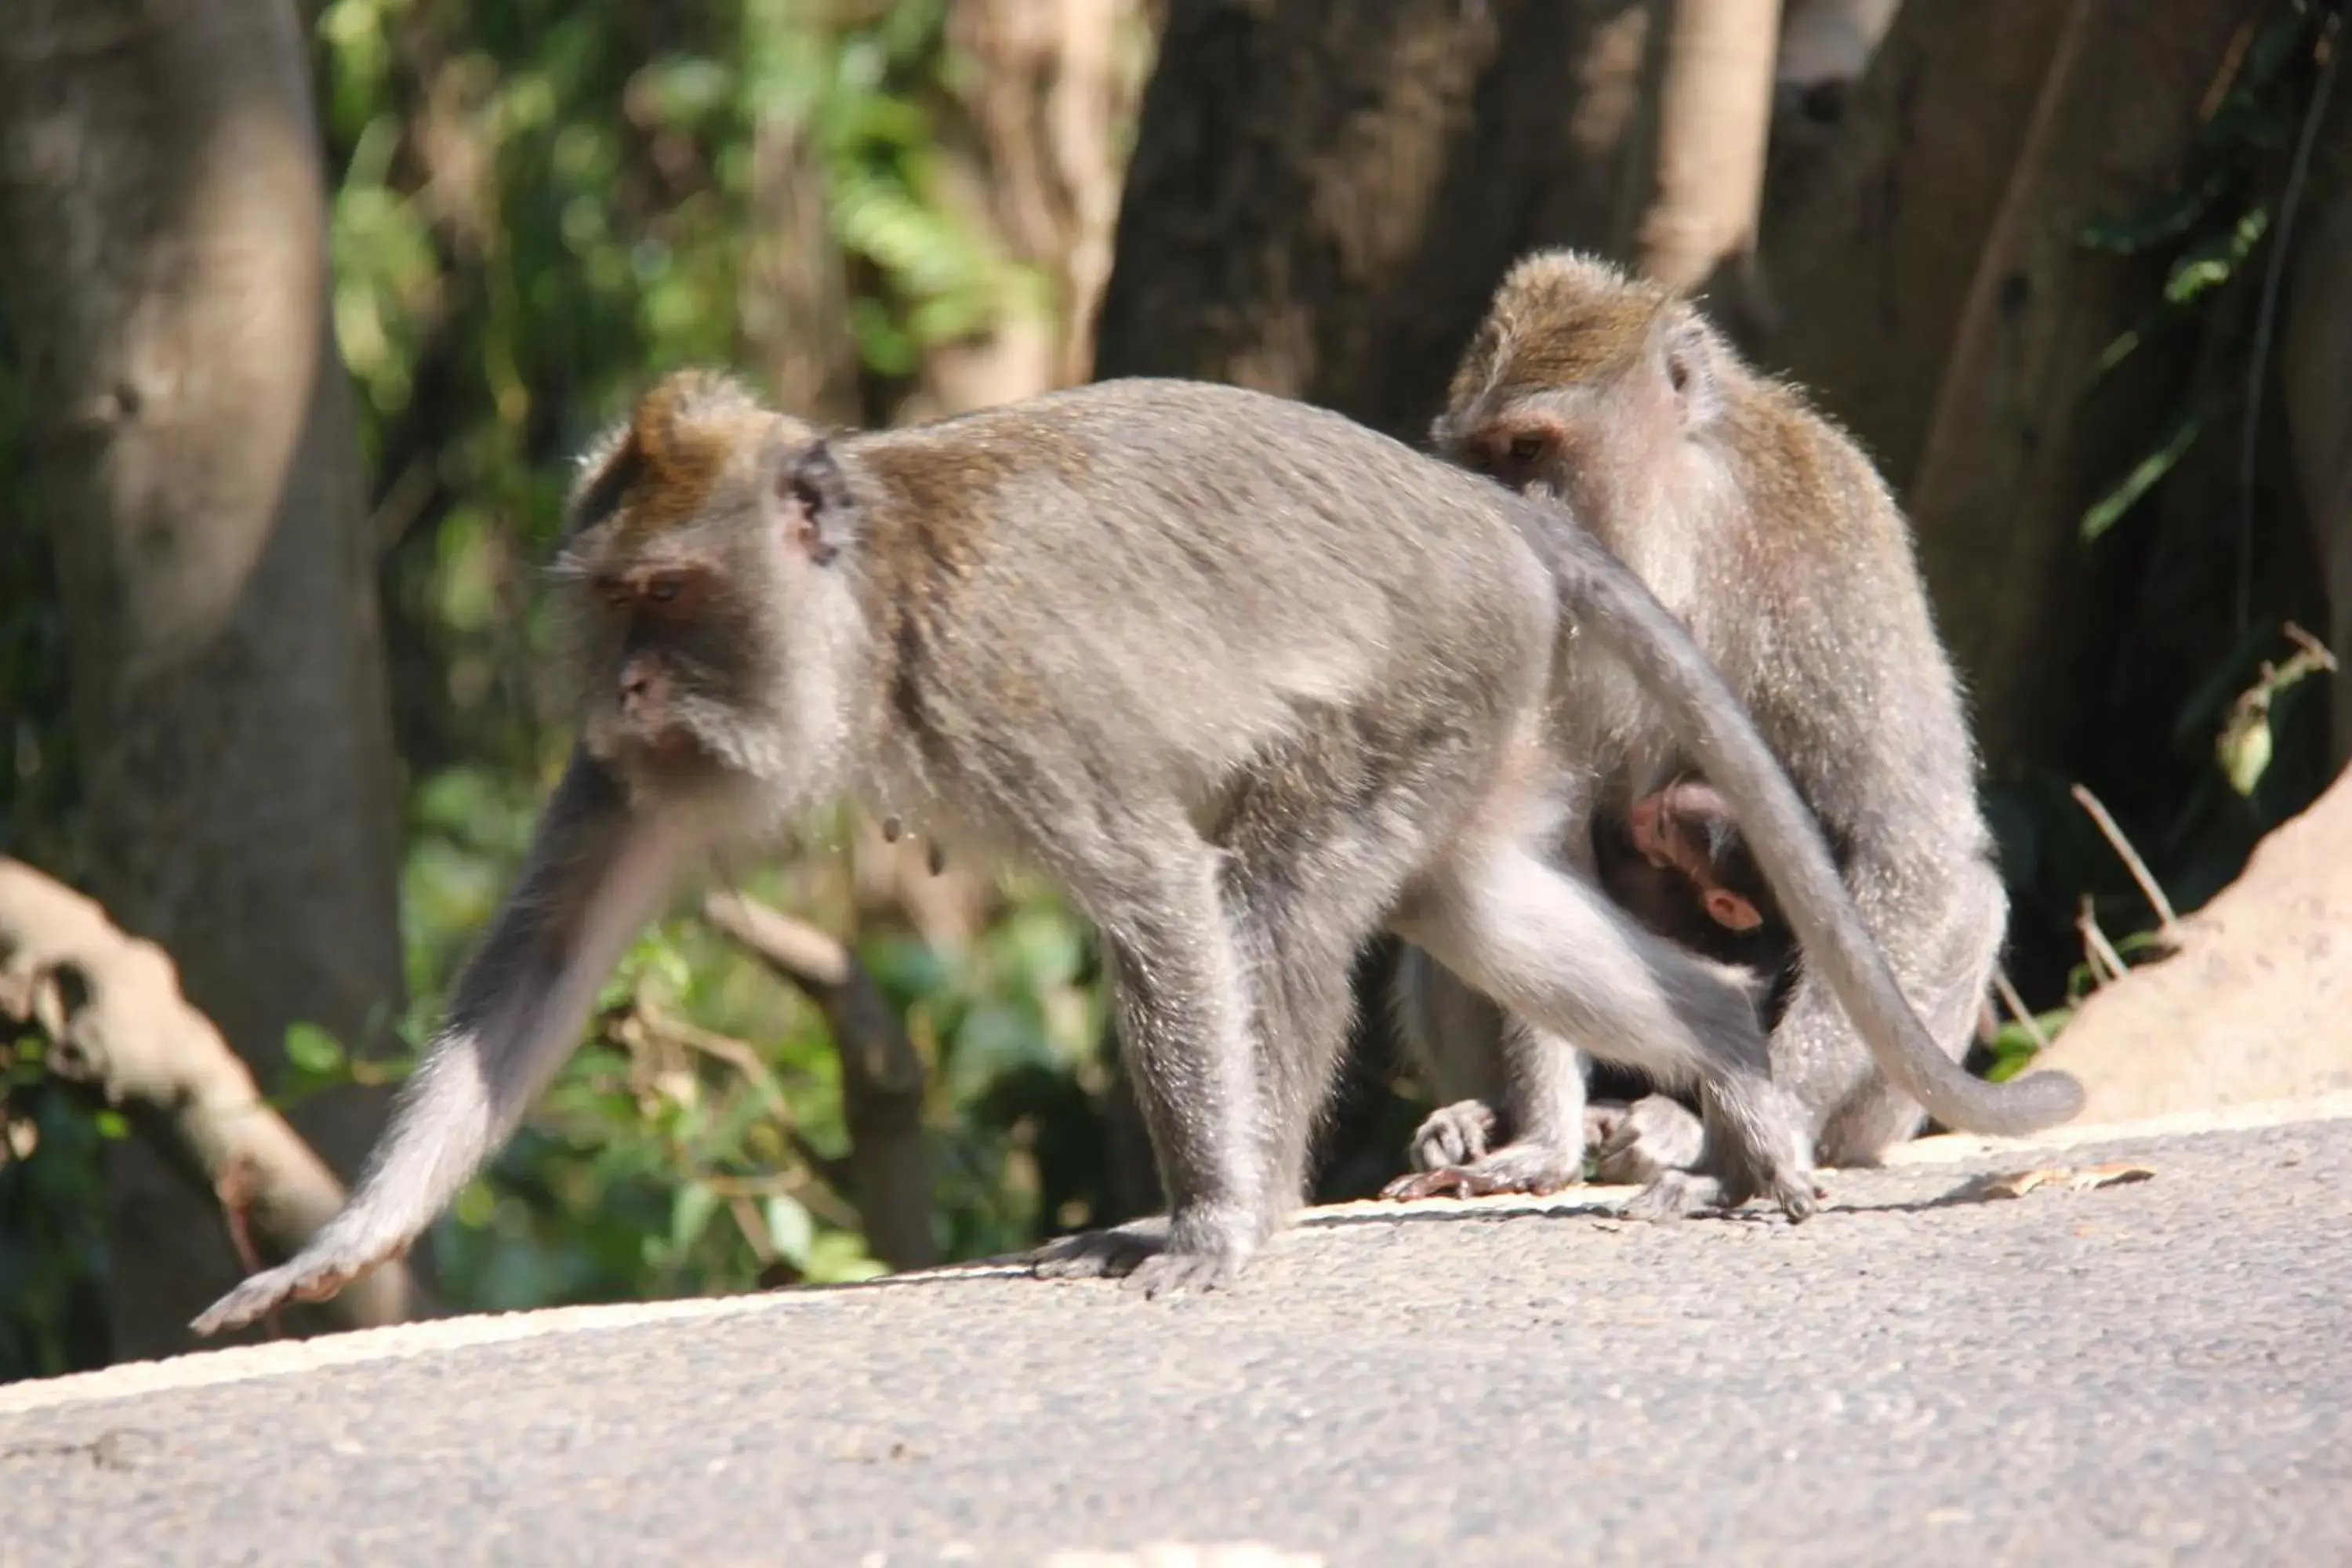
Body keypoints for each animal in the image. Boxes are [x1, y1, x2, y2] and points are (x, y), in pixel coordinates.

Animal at [198, 371, 2079, 1335]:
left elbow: (1162, 898)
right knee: (1471, 901)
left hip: (1431, 671)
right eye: (612, 604)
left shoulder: (1010, 687)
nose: (635, 686)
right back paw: (1735, 1075)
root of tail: (1494, 511)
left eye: (675, 594)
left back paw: (1255, 1206)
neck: (862, 612)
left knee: (1286, 897)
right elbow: (538, 969)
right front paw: (334, 1251)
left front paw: (1211, 1224)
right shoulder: (636, 779)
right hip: (1487, 717)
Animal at [1383, 251, 2013, 1194]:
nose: (1501, 521)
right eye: (1480, 459)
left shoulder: (1832, 550)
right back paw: (1493, 1114)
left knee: (1963, 898)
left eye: (1528, 449)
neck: (1678, 534)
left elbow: (1911, 849)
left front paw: (1755, 1128)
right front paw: (1545, 1137)